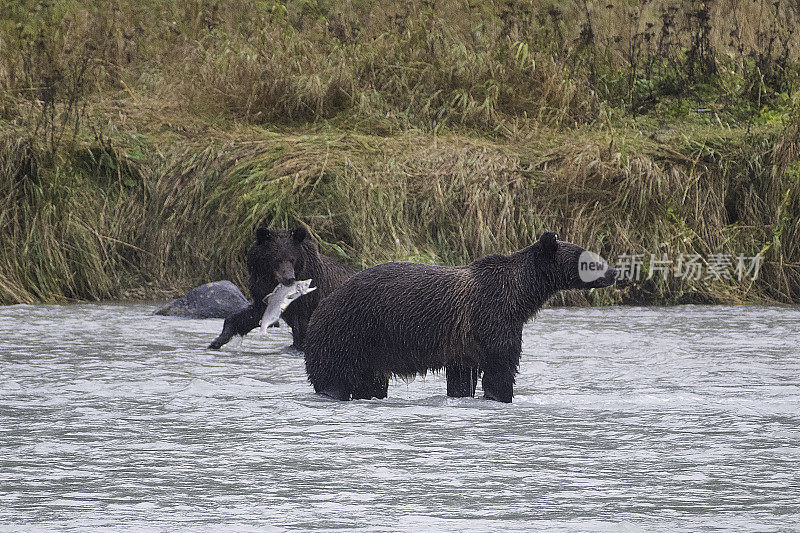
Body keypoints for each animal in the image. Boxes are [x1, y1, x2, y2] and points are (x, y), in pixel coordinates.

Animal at [208, 224, 354, 350]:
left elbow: (303, 329)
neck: (273, 282)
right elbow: (251, 315)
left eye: (292, 259)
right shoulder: (263, 291)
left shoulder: (308, 301)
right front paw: (217, 341)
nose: (290, 278)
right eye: (277, 259)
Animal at [304, 231, 616, 402]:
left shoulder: (463, 346)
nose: (614, 272)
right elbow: (501, 368)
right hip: (347, 335)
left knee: (371, 383)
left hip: (370, 351)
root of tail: (321, 308)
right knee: (333, 378)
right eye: (588, 259)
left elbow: (462, 379)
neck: (520, 296)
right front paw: (501, 395)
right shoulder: (492, 318)